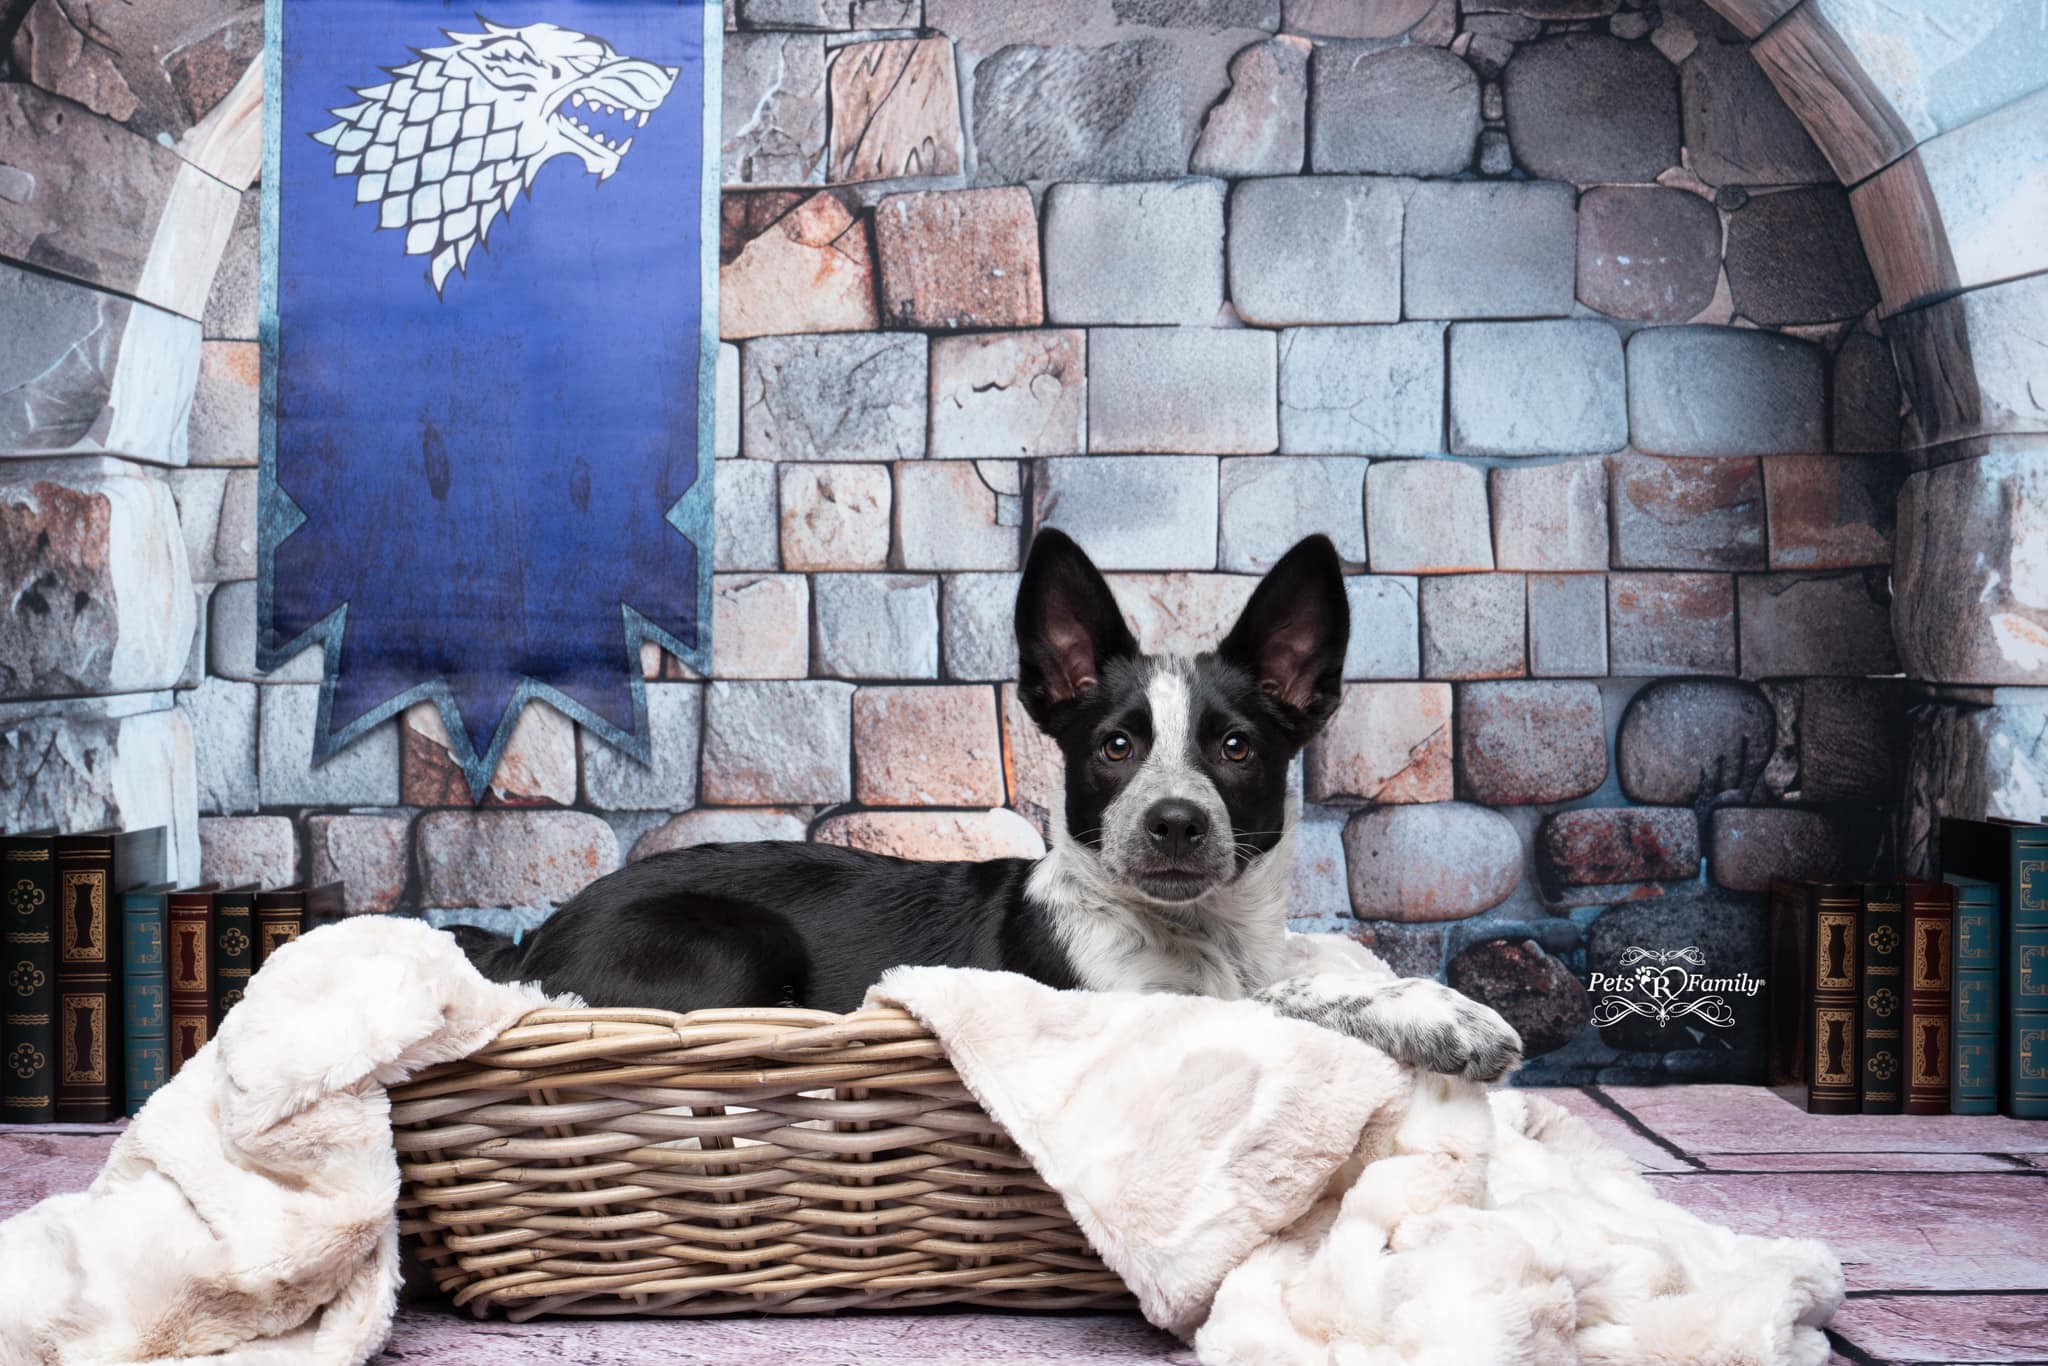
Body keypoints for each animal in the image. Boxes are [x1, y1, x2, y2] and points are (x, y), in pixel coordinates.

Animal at [460, 532, 1523, 1081]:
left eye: (1236, 749)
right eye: (1115, 748)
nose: (1175, 823)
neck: (1196, 935)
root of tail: (529, 942)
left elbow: (1307, 974)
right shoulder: (1126, 1006)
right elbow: (1286, 1002)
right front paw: (1447, 1017)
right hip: (735, 950)